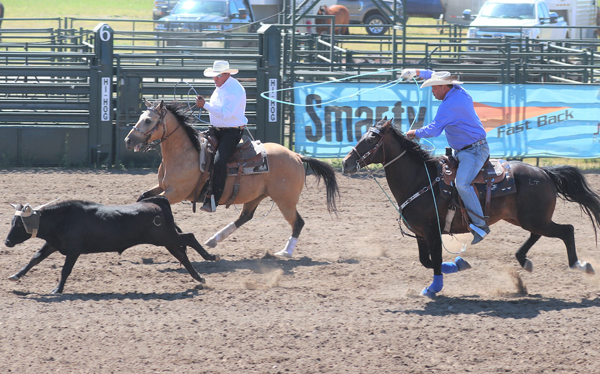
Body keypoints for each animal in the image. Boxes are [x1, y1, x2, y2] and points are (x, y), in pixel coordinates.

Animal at [124, 99, 340, 258]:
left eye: (148, 120)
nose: (128, 140)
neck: (184, 153)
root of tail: (295, 155)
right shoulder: (162, 185)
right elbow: (142, 197)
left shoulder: (176, 192)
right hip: (257, 196)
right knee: (245, 217)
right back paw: (214, 239)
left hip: (285, 200)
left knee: (298, 223)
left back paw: (286, 252)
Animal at [342, 117, 600, 298]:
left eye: (371, 139)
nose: (345, 163)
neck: (421, 180)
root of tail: (544, 172)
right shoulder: (421, 233)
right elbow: (426, 261)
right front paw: (458, 264)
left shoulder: (433, 232)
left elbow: (435, 261)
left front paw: (434, 288)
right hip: (526, 218)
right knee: (540, 233)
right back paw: (523, 260)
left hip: (534, 218)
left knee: (567, 230)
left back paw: (580, 265)